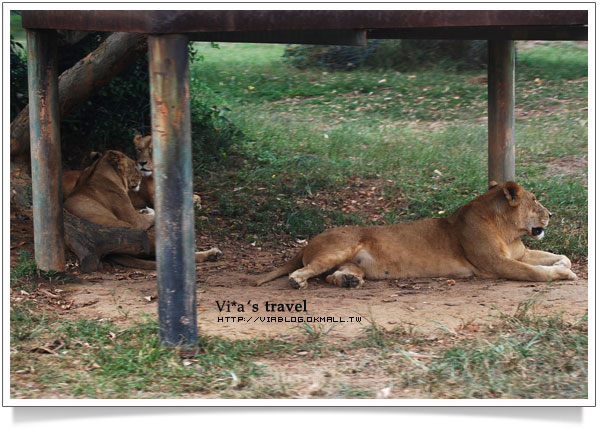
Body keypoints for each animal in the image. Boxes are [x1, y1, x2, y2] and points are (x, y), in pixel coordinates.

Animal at [255, 181, 580, 288]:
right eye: (535, 200)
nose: (551, 215)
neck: (509, 231)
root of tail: (310, 241)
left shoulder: (521, 252)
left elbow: (558, 256)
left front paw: (563, 264)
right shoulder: (495, 264)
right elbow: (534, 273)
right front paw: (562, 274)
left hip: (352, 262)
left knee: (333, 274)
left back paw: (348, 281)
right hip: (339, 248)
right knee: (304, 271)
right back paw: (298, 282)